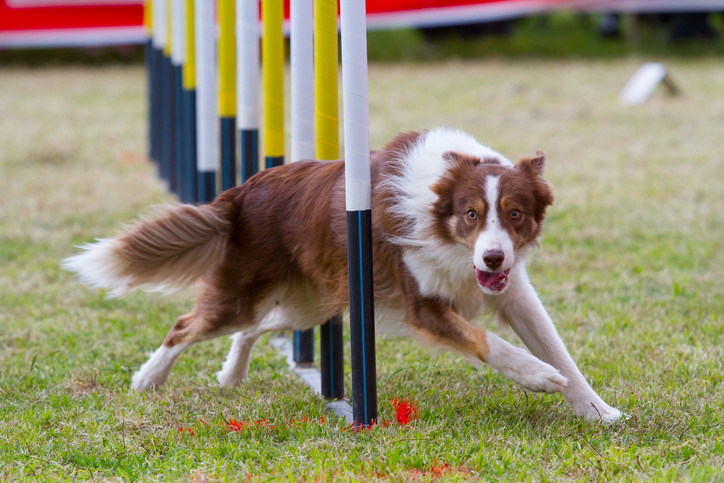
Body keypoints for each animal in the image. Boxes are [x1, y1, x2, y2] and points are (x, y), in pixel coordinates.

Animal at [65, 126, 624, 422]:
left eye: (515, 214)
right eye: (470, 214)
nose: (492, 259)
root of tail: (240, 193)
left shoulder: (514, 293)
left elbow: (560, 351)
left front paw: (599, 411)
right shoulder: (423, 306)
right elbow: (491, 343)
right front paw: (537, 377)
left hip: (316, 301)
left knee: (258, 327)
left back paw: (232, 374)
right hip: (245, 295)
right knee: (188, 325)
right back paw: (148, 378)